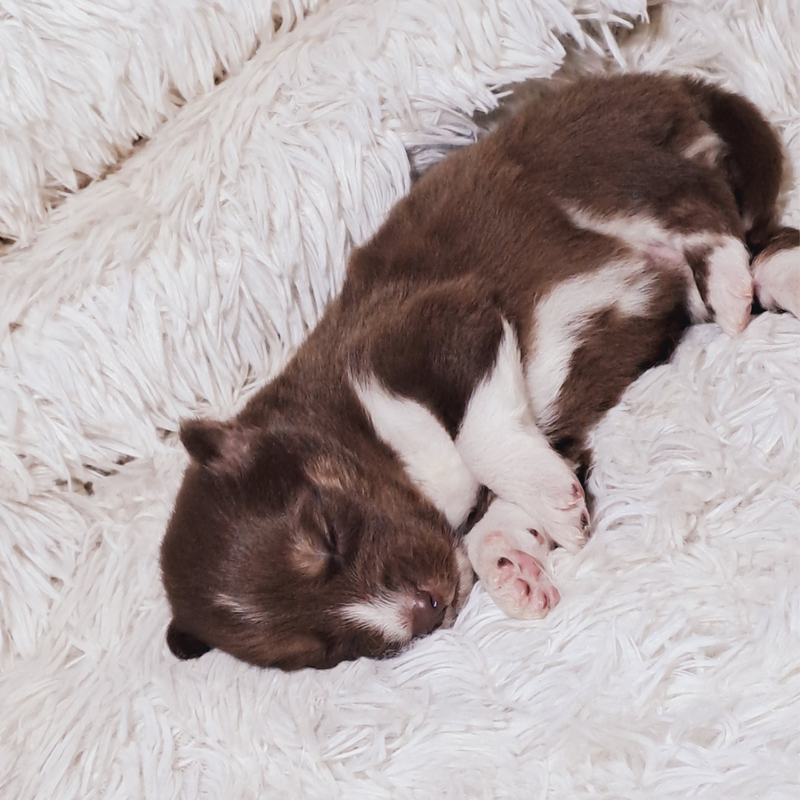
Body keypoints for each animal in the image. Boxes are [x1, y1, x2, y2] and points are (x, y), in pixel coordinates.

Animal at [159, 72, 796, 668]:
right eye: (323, 649)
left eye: (327, 538)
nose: (426, 609)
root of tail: (656, 82)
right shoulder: (536, 433)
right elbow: (502, 514)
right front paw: (515, 566)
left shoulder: (446, 323)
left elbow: (478, 435)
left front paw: (549, 508)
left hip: (601, 171)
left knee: (701, 206)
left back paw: (730, 285)